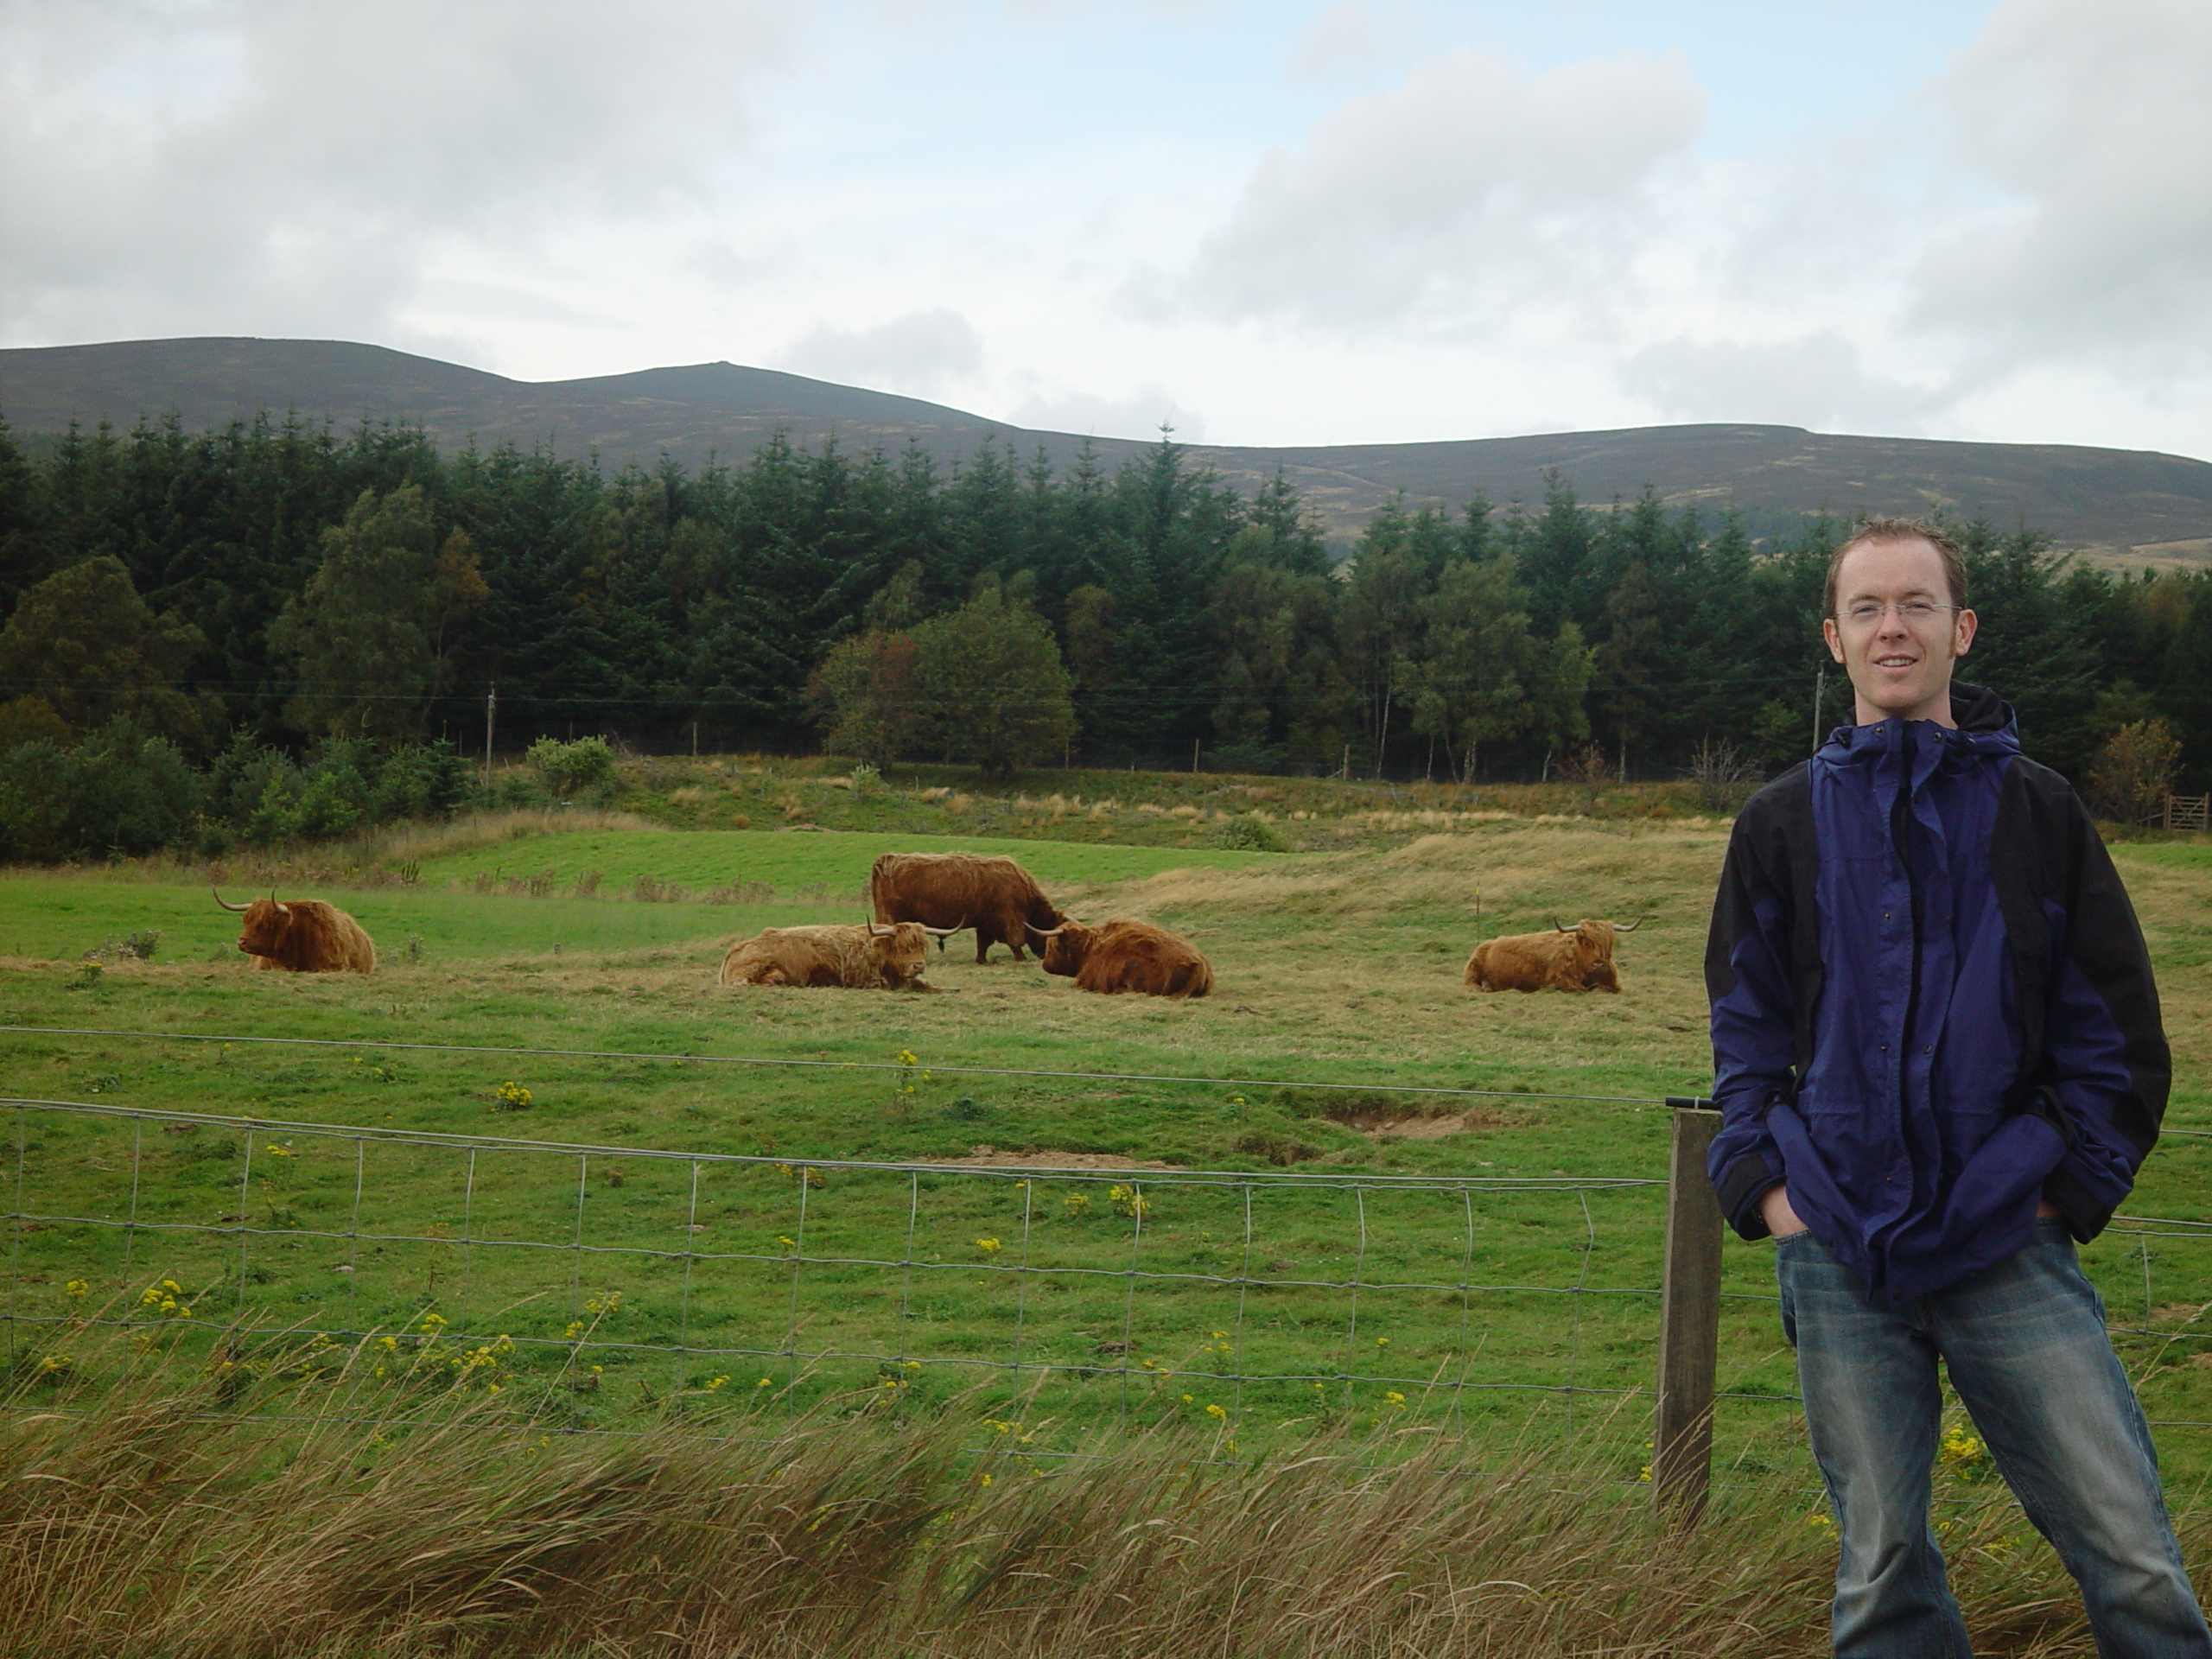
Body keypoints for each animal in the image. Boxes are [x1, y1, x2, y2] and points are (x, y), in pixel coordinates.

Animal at [862, 849, 1061, 969]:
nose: (1044, 956)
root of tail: (888, 859)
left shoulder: (985, 923)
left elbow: (982, 944)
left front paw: (981, 961)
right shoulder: (1011, 919)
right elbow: (1016, 941)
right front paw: (1021, 959)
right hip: (890, 917)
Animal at [1468, 915, 1645, 995]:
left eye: (1609, 943)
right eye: (1585, 942)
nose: (1599, 964)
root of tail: (1489, 943)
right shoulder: (1562, 982)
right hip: (1472, 971)